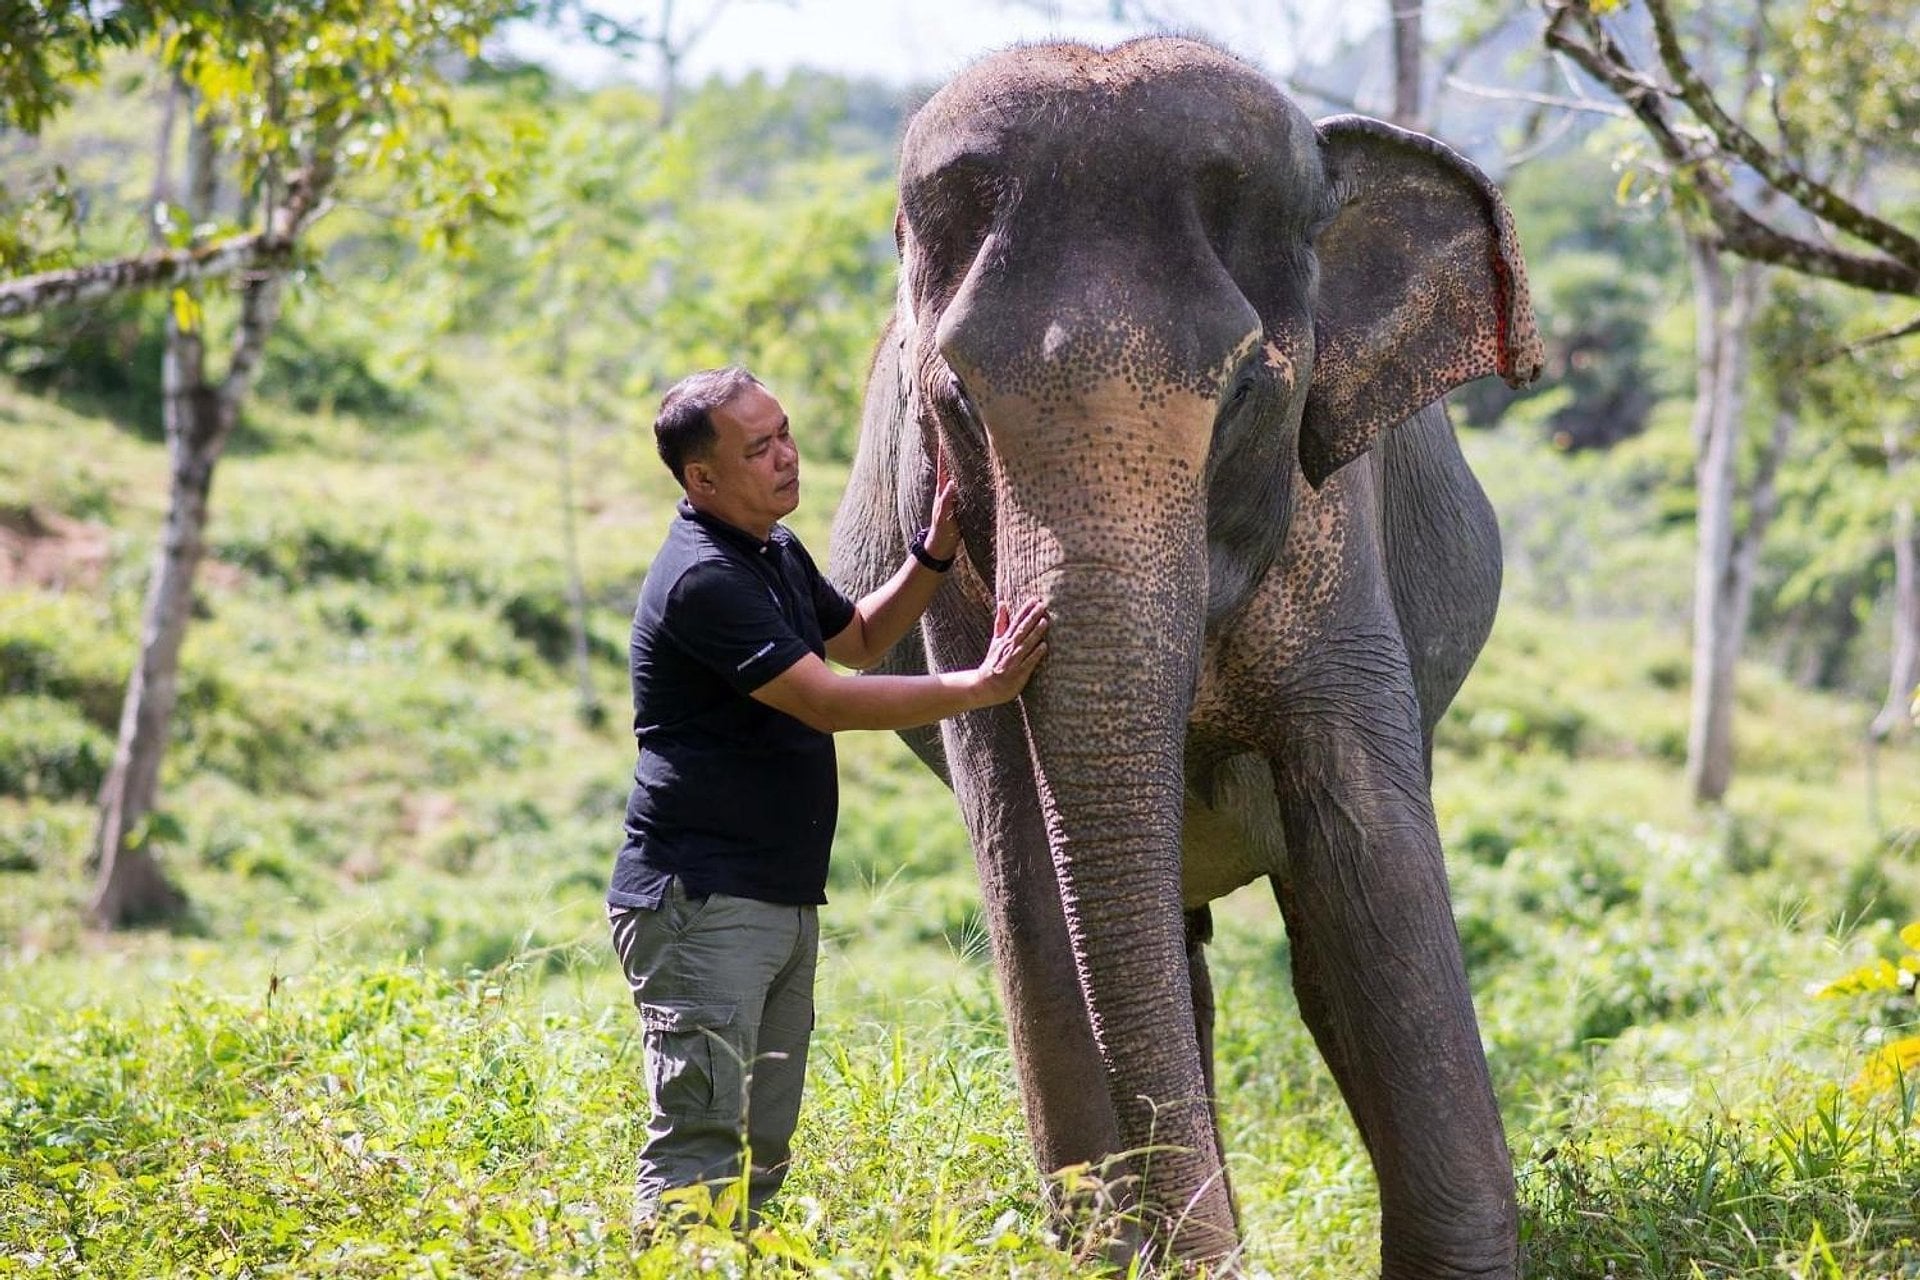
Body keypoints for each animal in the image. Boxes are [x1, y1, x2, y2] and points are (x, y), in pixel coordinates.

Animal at [827, 36, 1543, 1276]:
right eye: (954, 395)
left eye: (1246, 387)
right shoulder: (950, 575)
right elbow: (1028, 871)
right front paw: (1117, 1242)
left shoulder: (1331, 523)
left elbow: (1365, 859)